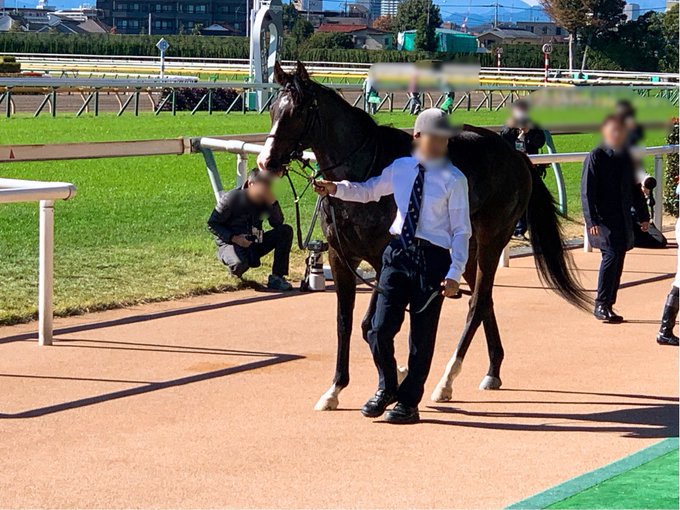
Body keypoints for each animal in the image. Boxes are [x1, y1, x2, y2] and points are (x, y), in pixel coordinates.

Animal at [256, 61, 588, 410]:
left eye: (296, 111)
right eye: (273, 109)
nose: (266, 161)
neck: (362, 172)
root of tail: (516, 156)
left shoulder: (382, 259)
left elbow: (369, 324)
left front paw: (394, 377)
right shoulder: (341, 257)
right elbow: (345, 324)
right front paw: (335, 389)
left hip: (492, 239)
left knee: (477, 302)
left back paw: (446, 380)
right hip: (466, 247)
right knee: (484, 299)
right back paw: (493, 370)